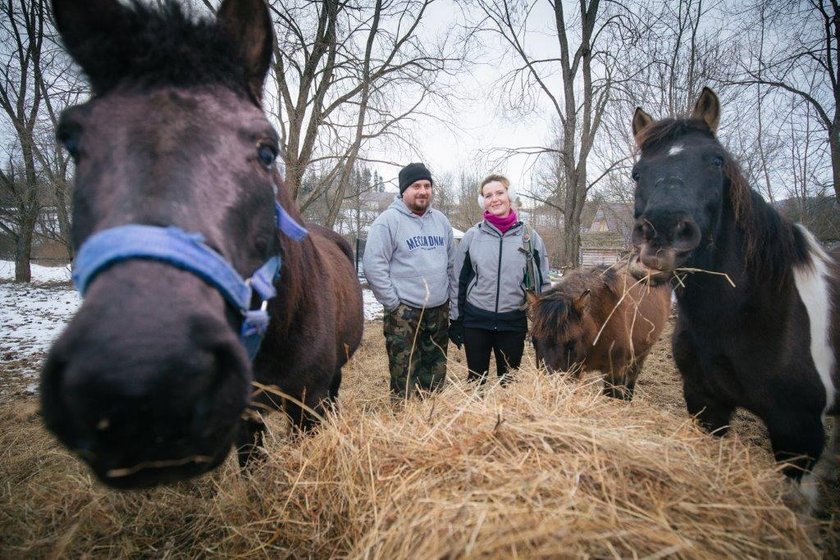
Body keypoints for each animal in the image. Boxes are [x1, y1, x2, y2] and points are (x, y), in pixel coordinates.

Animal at [532, 264, 668, 400]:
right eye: (534, 341)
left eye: (572, 343)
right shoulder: (577, 369)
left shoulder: (613, 371)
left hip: (641, 354)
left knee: (632, 377)